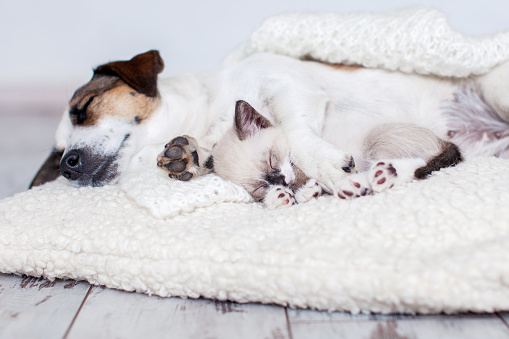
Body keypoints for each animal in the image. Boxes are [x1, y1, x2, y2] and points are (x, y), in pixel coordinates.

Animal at [208, 99, 462, 209]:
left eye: (272, 159)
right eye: (259, 187)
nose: (280, 180)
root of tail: (443, 141)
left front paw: (300, 191)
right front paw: (282, 196)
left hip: (377, 142)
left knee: (413, 164)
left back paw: (367, 181)